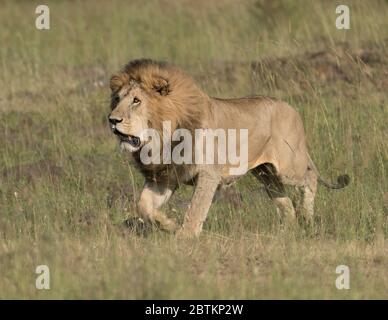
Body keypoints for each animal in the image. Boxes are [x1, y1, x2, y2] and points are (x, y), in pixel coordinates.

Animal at [107, 58, 348, 238]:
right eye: (117, 99)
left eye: (136, 101)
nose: (112, 120)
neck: (160, 137)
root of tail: (291, 107)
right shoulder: (164, 177)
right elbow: (144, 205)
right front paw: (169, 225)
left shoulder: (208, 173)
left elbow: (196, 208)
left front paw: (185, 236)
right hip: (266, 173)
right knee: (285, 199)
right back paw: (288, 228)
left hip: (287, 167)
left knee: (310, 177)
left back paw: (306, 217)